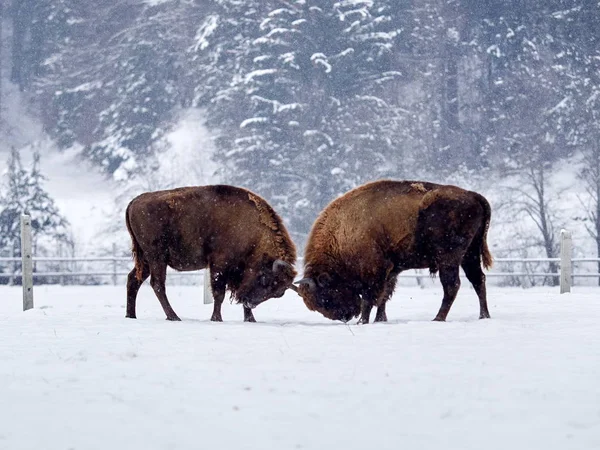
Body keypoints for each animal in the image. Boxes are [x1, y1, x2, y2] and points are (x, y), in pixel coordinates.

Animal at [125, 185, 298, 322]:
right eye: (265, 279)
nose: (249, 302)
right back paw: (173, 317)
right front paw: (217, 318)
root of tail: (135, 201)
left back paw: (131, 315)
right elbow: (219, 293)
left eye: (279, 293)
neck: (253, 232)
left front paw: (250, 319)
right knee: (158, 284)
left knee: (133, 279)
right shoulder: (219, 264)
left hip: (146, 260)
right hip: (157, 258)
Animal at [296, 179, 492, 324]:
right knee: (478, 279)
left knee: (452, 285)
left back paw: (438, 318)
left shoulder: (374, 272)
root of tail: (473, 195)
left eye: (325, 297)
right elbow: (384, 296)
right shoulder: (391, 270)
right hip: (469, 254)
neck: (343, 232)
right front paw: (380, 320)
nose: (345, 316)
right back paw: (483, 316)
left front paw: (363, 321)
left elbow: (370, 298)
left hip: (449, 258)